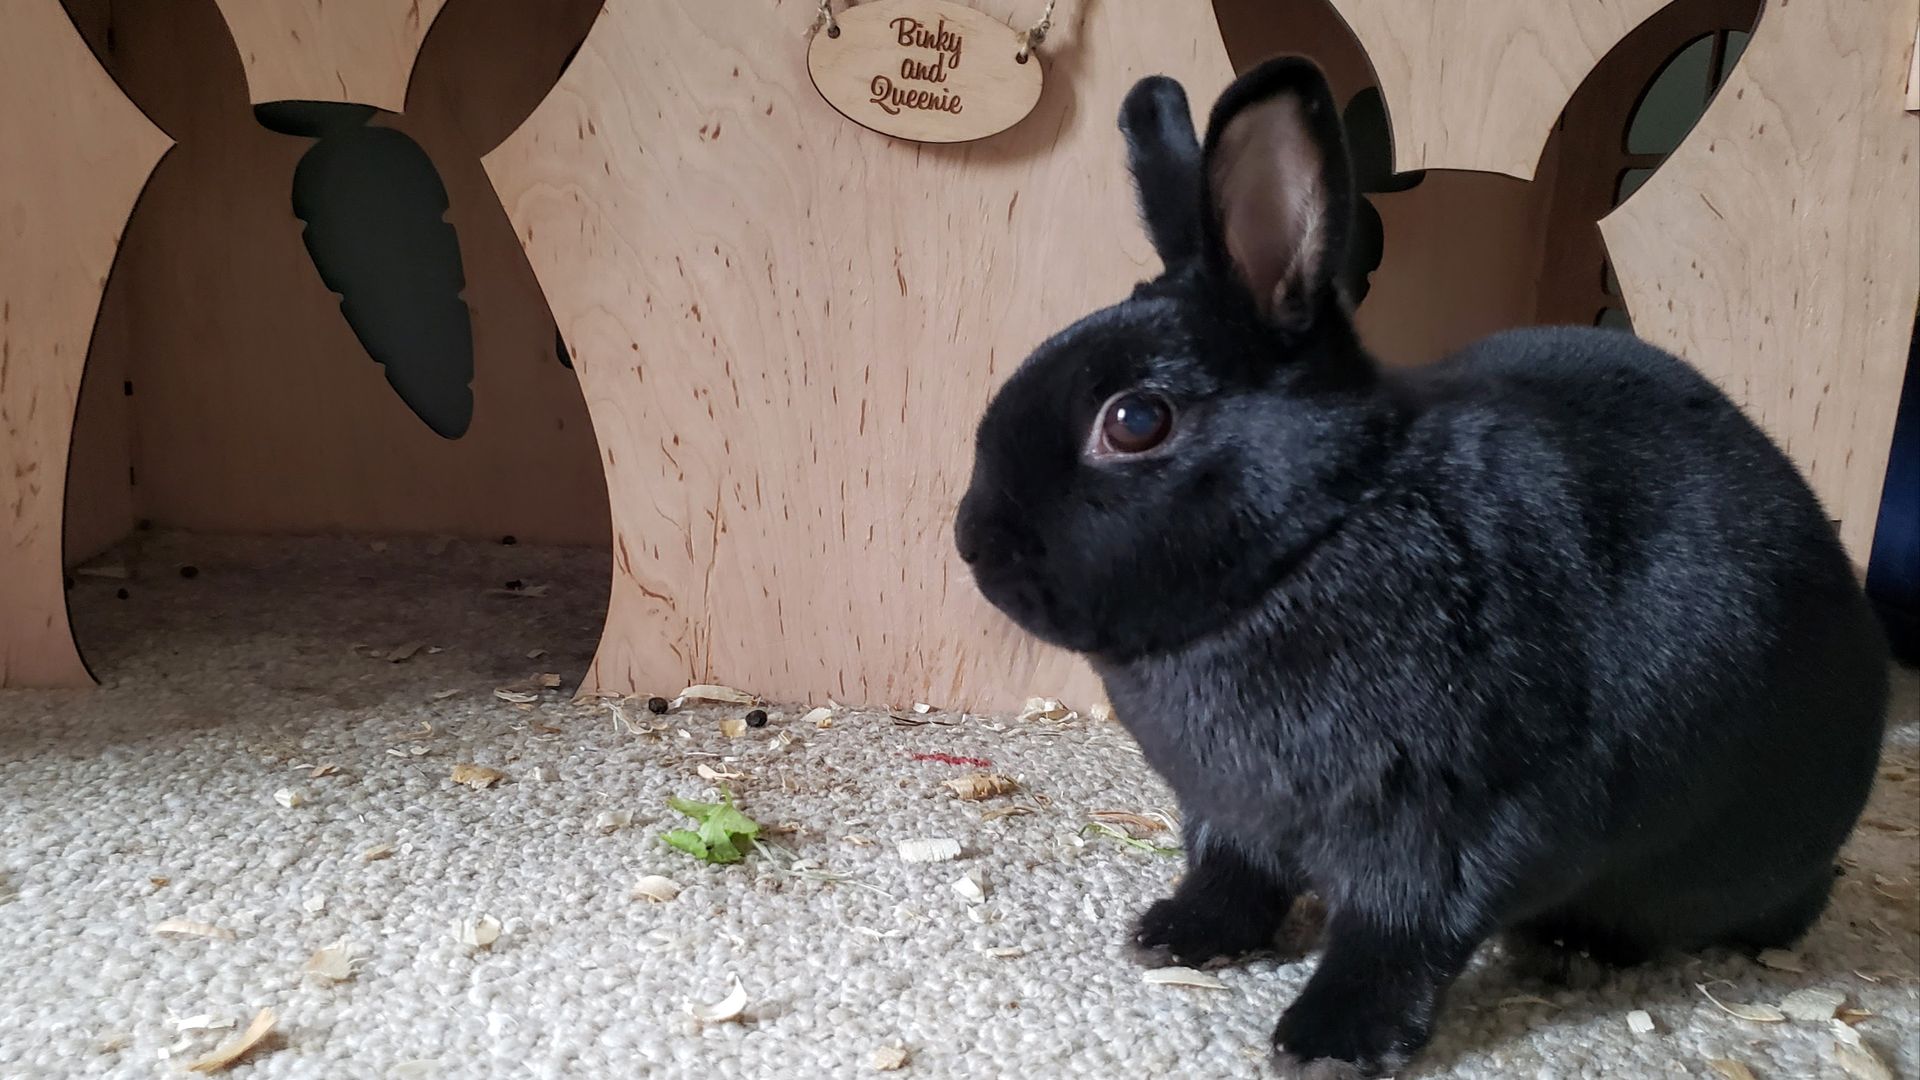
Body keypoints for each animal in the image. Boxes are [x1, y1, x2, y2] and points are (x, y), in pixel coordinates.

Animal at [953, 56, 1889, 1078]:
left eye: (1133, 420)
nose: (973, 545)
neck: (1314, 538)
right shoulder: (1232, 815)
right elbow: (1232, 875)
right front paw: (1176, 936)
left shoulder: (1456, 822)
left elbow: (1401, 933)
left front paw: (1329, 1043)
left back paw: (1576, 948)